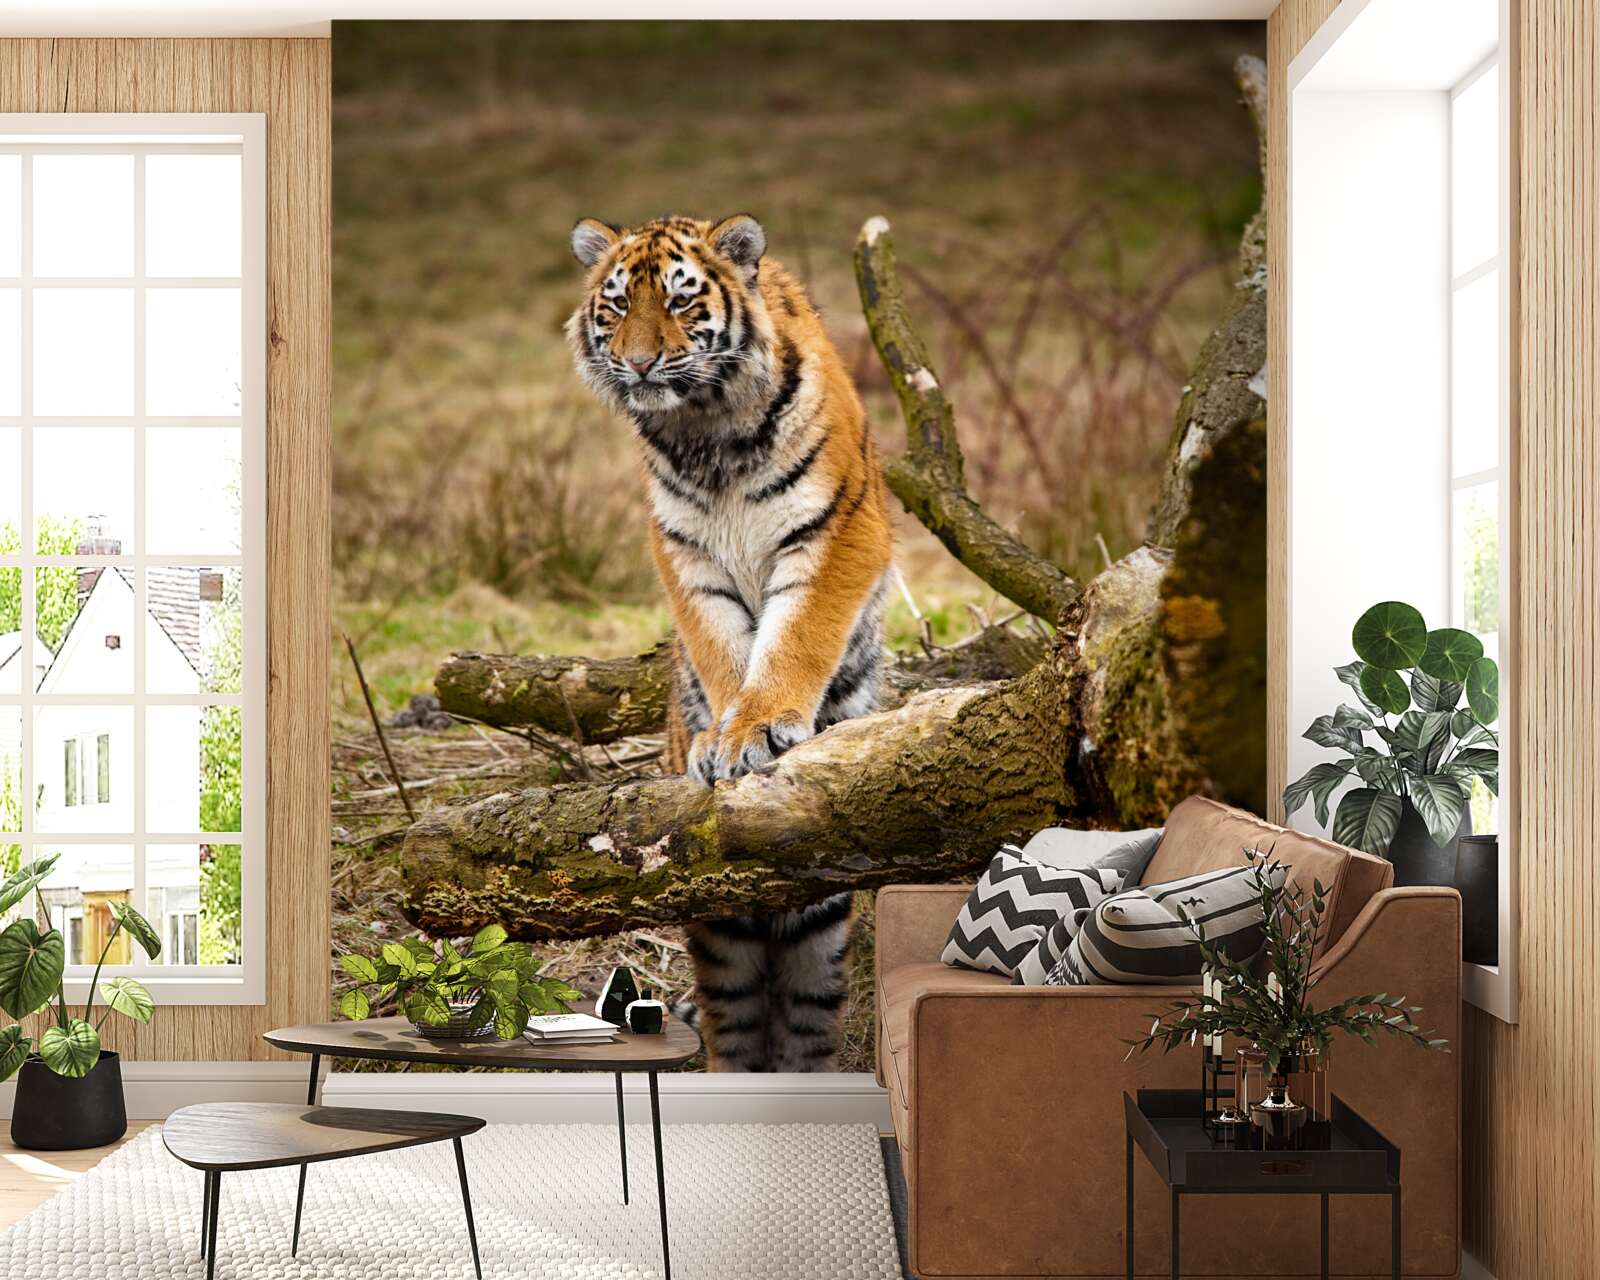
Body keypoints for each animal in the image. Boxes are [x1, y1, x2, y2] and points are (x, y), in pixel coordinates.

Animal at [565, 213, 895, 1071]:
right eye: (618, 304)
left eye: (682, 301)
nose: (640, 361)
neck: (704, 429)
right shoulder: (685, 552)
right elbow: (721, 649)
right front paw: (721, 737)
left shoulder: (837, 529)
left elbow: (797, 636)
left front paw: (760, 727)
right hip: (716, 925)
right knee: (734, 1024)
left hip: (822, 918)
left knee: (807, 1023)